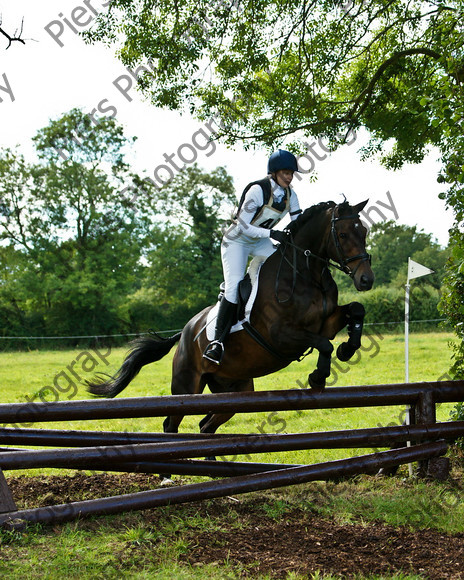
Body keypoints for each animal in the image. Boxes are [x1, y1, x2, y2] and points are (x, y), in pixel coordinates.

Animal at [89, 199, 376, 436]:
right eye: (342, 234)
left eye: (364, 232)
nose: (366, 280)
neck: (306, 274)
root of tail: (184, 332)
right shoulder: (281, 334)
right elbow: (324, 344)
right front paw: (318, 376)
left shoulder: (324, 324)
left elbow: (355, 310)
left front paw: (347, 350)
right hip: (186, 386)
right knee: (171, 423)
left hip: (234, 390)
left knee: (206, 425)